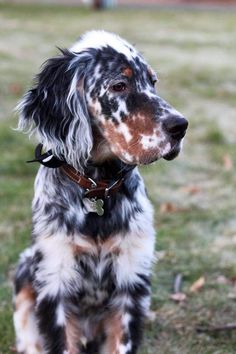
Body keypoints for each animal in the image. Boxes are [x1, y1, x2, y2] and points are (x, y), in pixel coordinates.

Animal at [14, 31, 188, 354]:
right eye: (119, 85)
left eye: (153, 82)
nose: (181, 127)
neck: (97, 187)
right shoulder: (55, 279)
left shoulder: (132, 281)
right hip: (24, 271)